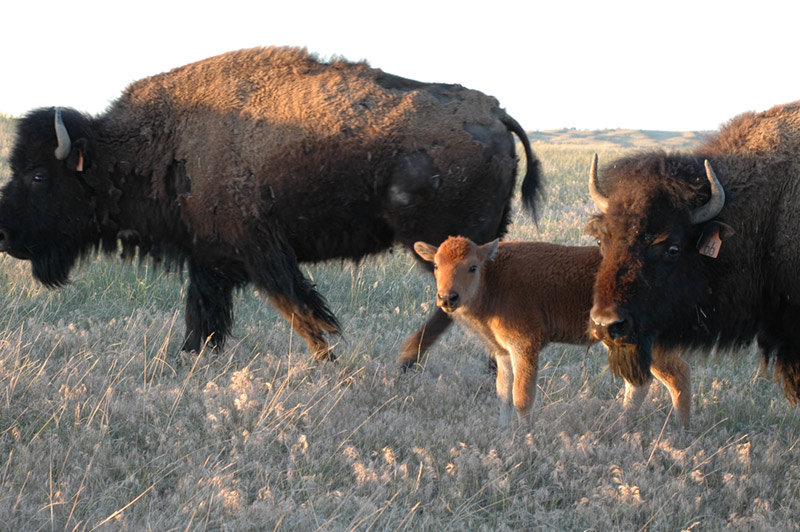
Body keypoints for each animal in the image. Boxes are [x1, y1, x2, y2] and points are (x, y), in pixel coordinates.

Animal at [0, 46, 540, 361]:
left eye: (37, 174)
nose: (5, 236)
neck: (165, 139)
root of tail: (496, 113)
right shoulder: (210, 259)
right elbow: (206, 313)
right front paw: (192, 358)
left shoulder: (261, 252)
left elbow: (299, 310)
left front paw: (328, 361)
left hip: (439, 244)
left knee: (457, 306)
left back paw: (409, 358)